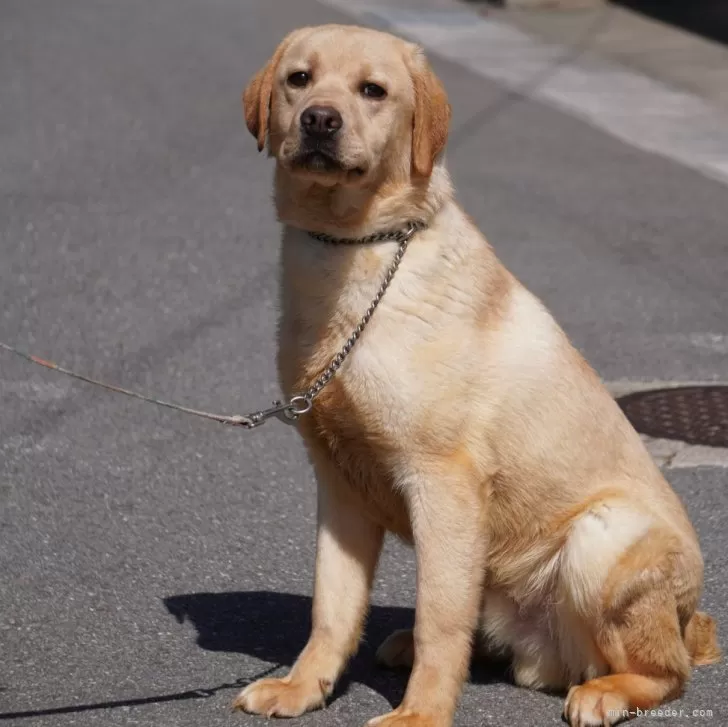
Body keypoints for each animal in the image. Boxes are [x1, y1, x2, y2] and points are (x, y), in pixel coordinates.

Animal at [232, 24, 716, 727]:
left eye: (372, 90)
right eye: (299, 79)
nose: (320, 120)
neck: (355, 250)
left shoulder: (443, 483)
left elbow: (440, 618)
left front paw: (421, 715)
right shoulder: (339, 486)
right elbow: (332, 607)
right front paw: (304, 686)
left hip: (601, 539)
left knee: (664, 672)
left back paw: (604, 691)